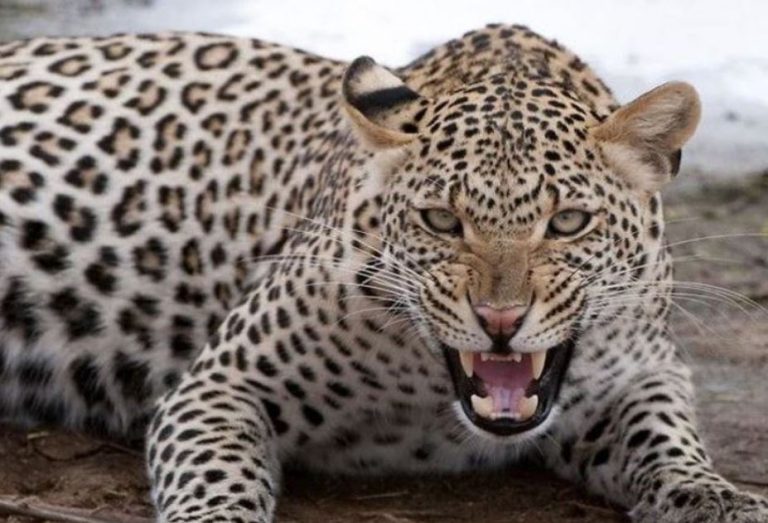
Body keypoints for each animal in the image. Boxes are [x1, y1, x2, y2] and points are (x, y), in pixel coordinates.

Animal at [0, 23, 765, 523]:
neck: (430, 402)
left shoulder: (645, 369)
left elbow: (668, 439)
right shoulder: (218, 386)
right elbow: (218, 483)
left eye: (569, 221)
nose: (501, 320)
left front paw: (717, 496)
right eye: (442, 221)